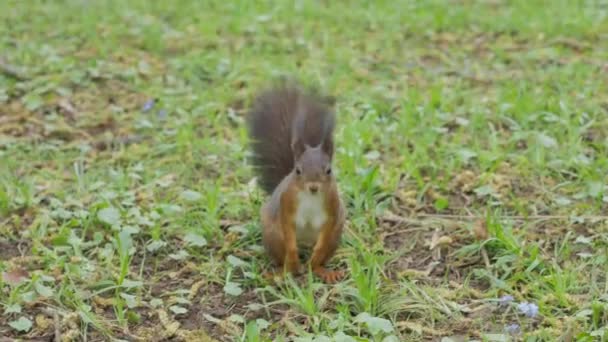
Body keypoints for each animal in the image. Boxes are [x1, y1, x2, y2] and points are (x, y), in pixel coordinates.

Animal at [245, 80, 344, 284]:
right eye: (298, 170)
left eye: (328, 170)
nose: (313, 187)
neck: (310, 198)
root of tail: (304, 241)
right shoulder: (286, 205)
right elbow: (288, 233)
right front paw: (293, 257)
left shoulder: (332, 209)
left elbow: (323, 238)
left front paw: (315, 259)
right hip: (273, 236)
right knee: (285, 261)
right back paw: (283, 271)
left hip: (335, 236)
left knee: (320, 257)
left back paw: (322, 270)